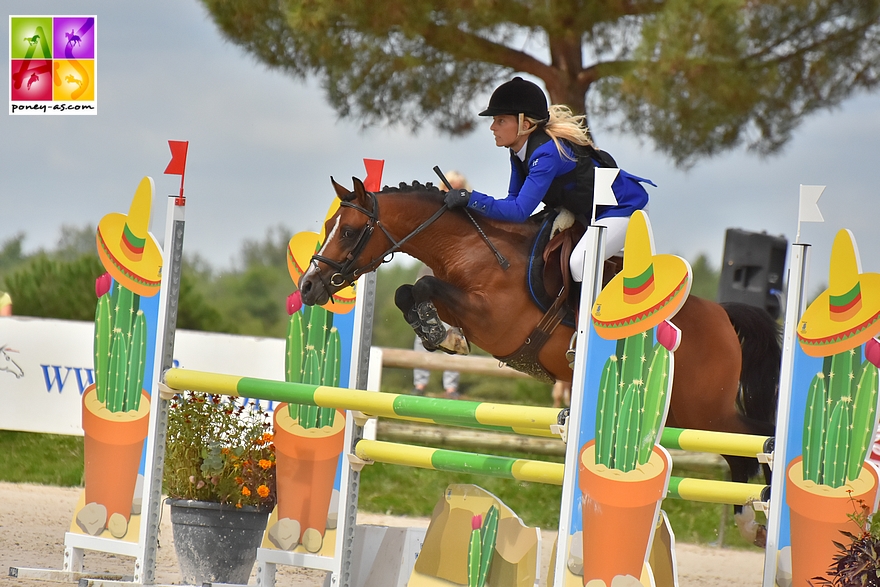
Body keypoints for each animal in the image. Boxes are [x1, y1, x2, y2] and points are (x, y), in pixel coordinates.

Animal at [300, 176, 780, 548]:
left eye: (350, 231)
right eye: (327, 226)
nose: (308, 287)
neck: (473, 249)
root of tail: (722, 314)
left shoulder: (496, 321)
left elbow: (424, 285)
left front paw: (443, 336)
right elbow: (408, 292)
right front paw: (441, 335)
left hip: (706, 410)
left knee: (754, 443)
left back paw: (762, 515)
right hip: (683, 412)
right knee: (739, 454)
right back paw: (751, 525)